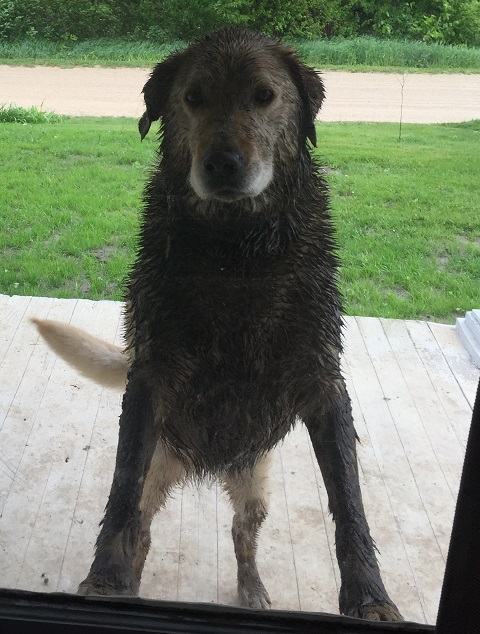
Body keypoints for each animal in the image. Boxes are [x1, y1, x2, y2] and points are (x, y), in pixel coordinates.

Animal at [32, 28, 402, 616]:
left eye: (264, 96)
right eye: (193, 97)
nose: (223, 163)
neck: (237, 251)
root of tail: (205, 465)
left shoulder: (323, 379)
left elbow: (350, 500)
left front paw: (369, 595)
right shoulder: (151, 376)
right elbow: (121, 493)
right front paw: (107, 578)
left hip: (254, 485)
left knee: (241, 532)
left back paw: (251, 588)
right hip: (161, 467)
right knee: (143, 527)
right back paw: (133, 577)